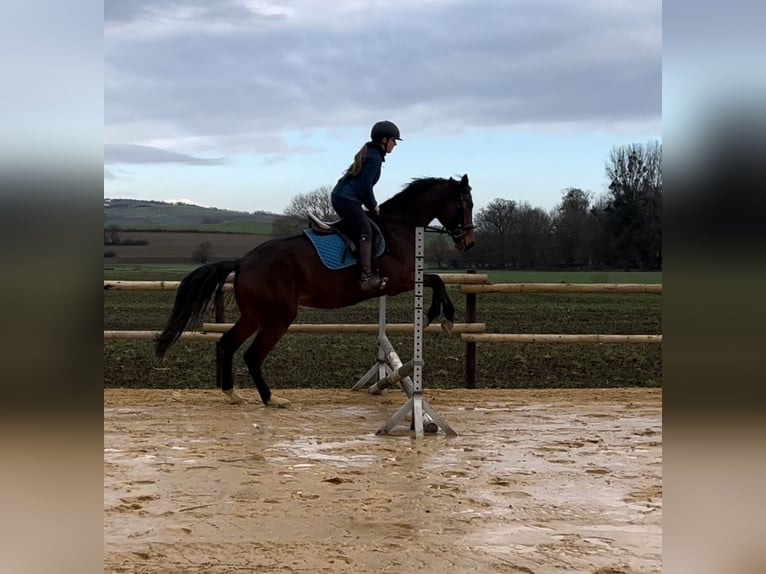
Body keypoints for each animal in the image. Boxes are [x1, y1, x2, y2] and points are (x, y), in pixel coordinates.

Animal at [154, 176, 476, 410]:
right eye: (467, 203)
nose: (468, 242)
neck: (400, 226)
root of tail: (243, 261)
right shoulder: (399, 281)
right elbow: (436, 280)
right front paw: (442, 316)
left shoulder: (401, 282)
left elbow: (436, 280)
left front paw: (441, 317)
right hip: (278, 317)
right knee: (252, 355)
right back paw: (271, 398)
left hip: (254, 315)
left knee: (227, 343)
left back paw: (232, 394)